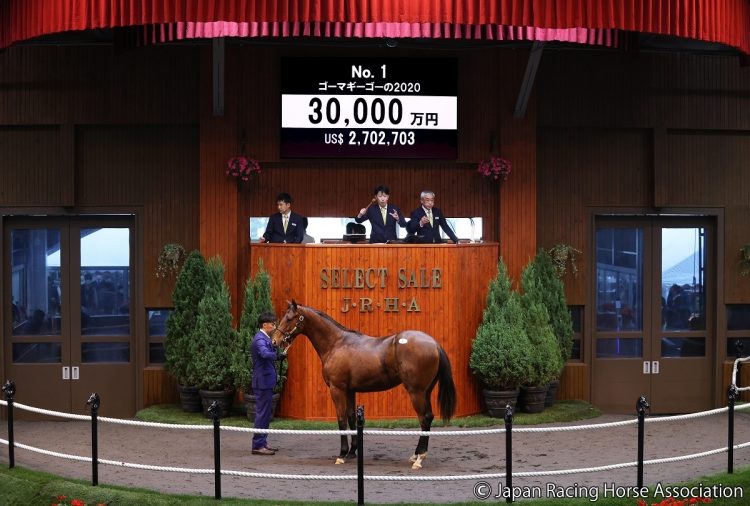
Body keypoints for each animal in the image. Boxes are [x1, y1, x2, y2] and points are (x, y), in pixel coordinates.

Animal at [272, 298, 456, 468]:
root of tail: (434, 344)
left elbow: (341, 420)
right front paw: (352, 452)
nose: (275, 341)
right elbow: (352, 418)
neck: (337, 343)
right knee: (429, 417)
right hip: (426, 391)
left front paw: (342, 454)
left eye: (289, 318)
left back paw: (419, 459)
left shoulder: (337, 389)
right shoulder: (350, 390)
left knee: (424, 419)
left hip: (416, 392)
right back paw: (416, 454)